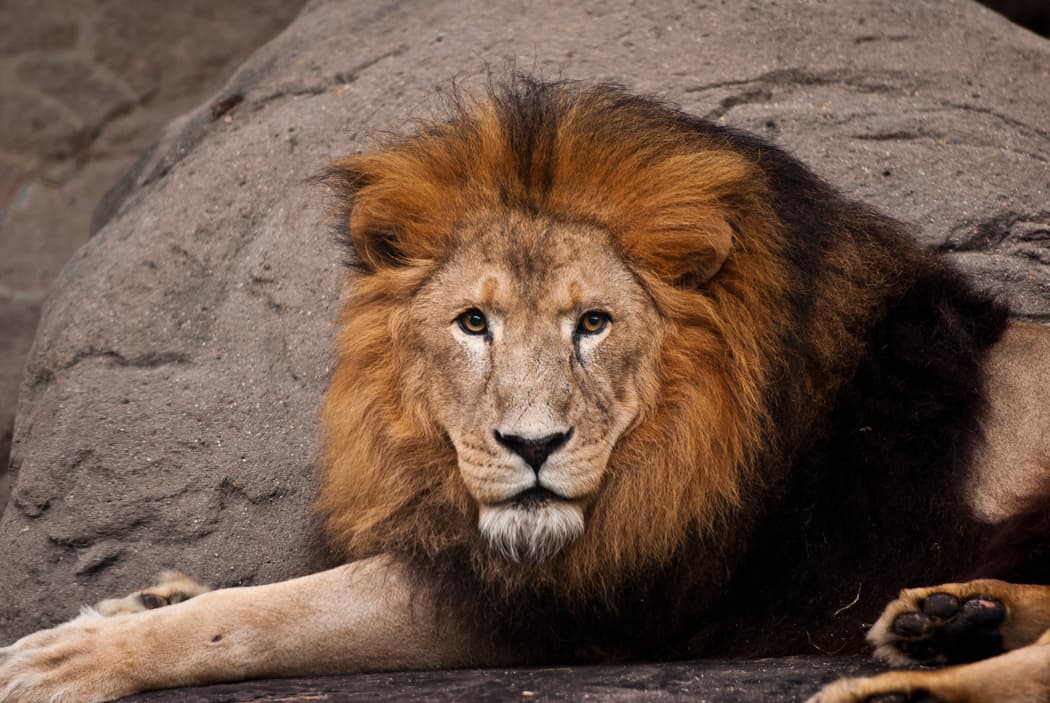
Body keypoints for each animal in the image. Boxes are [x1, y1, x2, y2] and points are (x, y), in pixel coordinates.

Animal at [2, 77, 1049, 703]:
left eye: (594, 323)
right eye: (475, 323)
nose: (533, 447)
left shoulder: (543, 601)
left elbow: (264, 616)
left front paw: (71, 656)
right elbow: (247, 590)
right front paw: (135, 600)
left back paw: (906, 675)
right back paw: (947, 619)